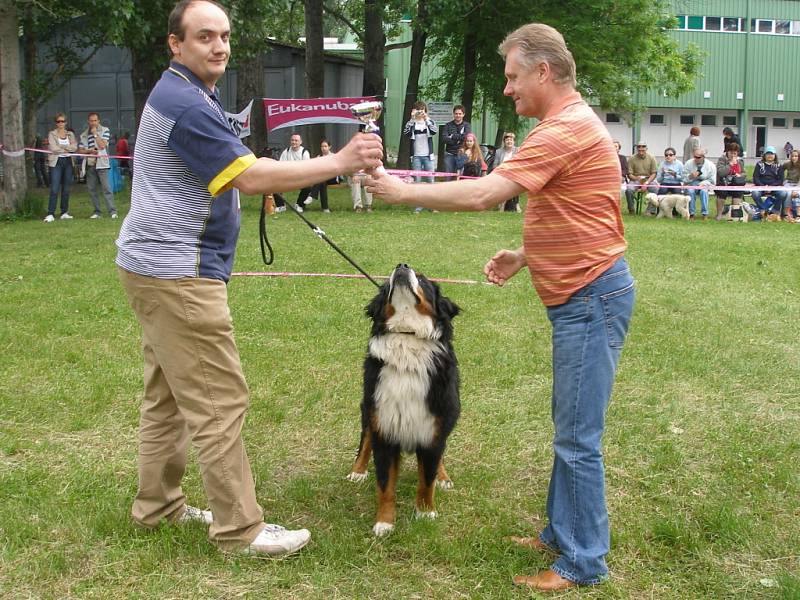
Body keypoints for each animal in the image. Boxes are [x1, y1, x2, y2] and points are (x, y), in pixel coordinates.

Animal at [346, 264, 462, 536]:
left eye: (422, 279)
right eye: (386, 285)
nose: (401, 266)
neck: (407, 338)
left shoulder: (433, 428)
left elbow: (427, 478)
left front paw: (425, 512)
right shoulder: (384, 426)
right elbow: (385, 485)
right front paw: (385, 523)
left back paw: (443, 477)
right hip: (369, 409)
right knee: (365, 439)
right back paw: (357, 471)